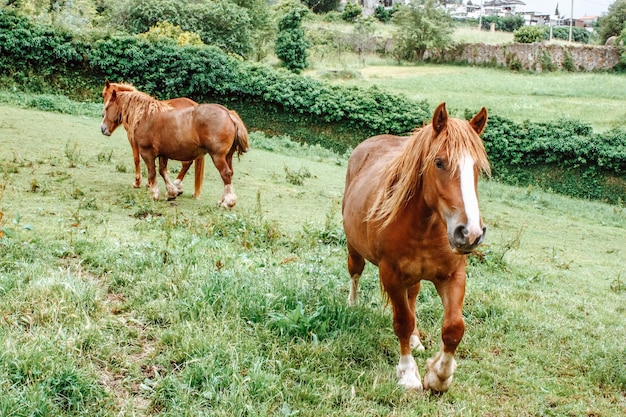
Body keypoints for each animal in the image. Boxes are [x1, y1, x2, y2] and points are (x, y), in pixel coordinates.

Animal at [100, 88, 249, 208]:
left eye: (107, 108)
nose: (103, 128)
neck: (145, 115)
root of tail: (228, 113)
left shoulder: (146, 152)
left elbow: (152, 172)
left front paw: (154, 193)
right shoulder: (163, 154)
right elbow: (163, 171)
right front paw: (172, 192)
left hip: (218, 156)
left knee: (225, 174)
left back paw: (228, 202)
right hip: (227, 156)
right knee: (229, 174)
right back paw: (221, 200)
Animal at [342, 102, 488, 392]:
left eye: (477, 167)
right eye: (439, 162)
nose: (470, 233)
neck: (426, 225)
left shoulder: (453, 276)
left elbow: (454, 328)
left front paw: (440, 376)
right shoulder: (391, 274)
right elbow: (402, 321)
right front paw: (409, 374)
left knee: (413, 297)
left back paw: (416, 340)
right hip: (355, 249)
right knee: (355, 272)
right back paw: (352, 304)